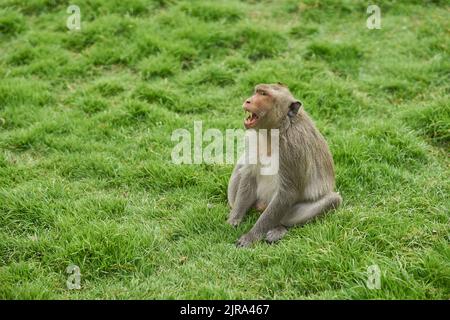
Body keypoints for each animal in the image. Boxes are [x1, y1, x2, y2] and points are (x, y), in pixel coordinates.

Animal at [227, 83, 342, 248]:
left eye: (263, 94)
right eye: (257, 91)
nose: (248, 100)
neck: (276, 130)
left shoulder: (293, 149)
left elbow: (288, 192)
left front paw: (251, 236)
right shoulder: (253, 138)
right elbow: (249, 176)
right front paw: (234, 219)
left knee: (333, 200)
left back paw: (280, 228)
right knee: (242, 164)